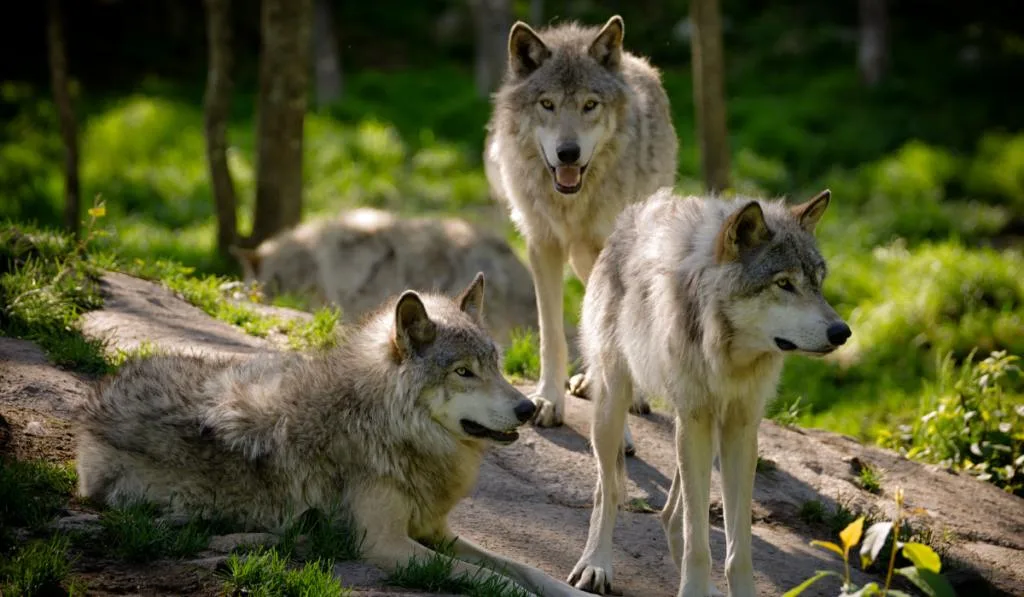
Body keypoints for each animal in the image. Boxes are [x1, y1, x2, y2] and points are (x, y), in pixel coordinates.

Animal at [75, 274, 593, 597]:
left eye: (496, 366)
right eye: (464, 372)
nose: (528, 409)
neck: (384, 423)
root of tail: (98, 397)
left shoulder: (437, 532)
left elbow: (526, 568)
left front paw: (574, 590)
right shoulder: (386, 545)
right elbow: (495, 580)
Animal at [483, 14, 675, 430]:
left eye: (590, 105)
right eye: (547, 104)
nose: (568, 153)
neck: (570, 203)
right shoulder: (542, 245)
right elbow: (551, 334)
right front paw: (547, 400)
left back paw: (628, 394)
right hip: (580, 259)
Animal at [569, 190, 847, 597]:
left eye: (818, 283)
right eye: (783, 283)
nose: (842, 332)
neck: (727, 353)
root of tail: (632, 216)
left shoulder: (740, 430)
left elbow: (738, 546)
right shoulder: (695, 420)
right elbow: (699, 541)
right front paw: (692, 588)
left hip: (701, 431)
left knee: (670, 514)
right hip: (614, 408)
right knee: (609, 491)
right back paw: (595, 565)